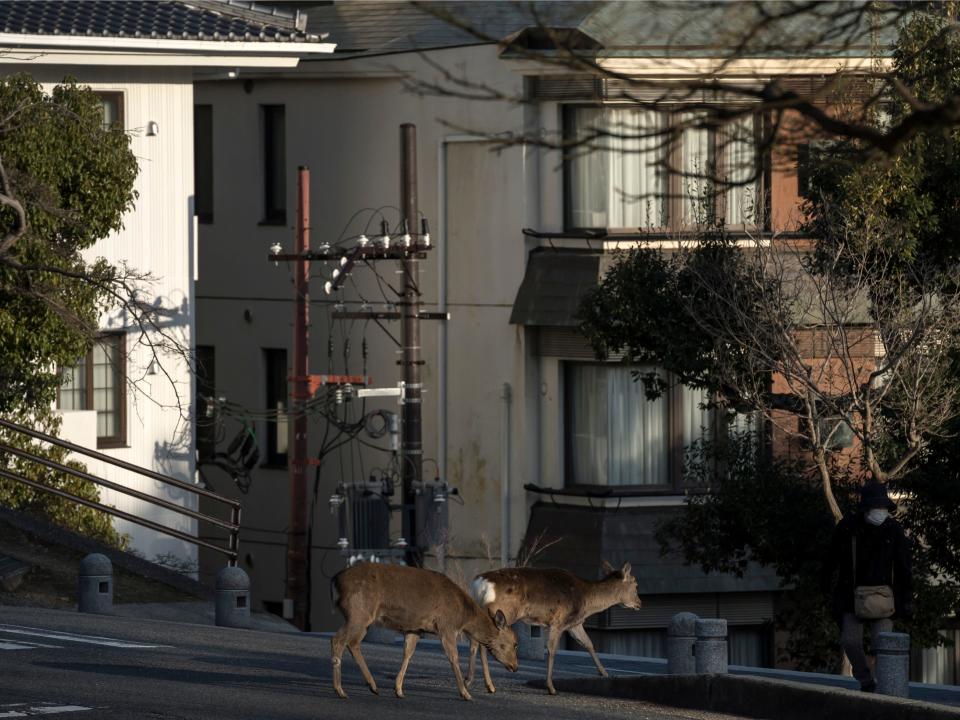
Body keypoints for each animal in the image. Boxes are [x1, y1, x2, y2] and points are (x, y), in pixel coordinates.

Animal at [328, 564, 516, 700]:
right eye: (515, 643)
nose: (515, 666)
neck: (464, 616)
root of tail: (335, 581)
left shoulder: (415, 628)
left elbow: (408, 654)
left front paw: (398, 689)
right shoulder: (447, 626)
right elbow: (453, 658)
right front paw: (465, 693)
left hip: (362, 618)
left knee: (353, 643)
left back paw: (372, 686)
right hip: (358, 612)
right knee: (337, 640)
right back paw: (340, 690)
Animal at [468, 560, 640, 696]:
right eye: (635, 583)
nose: (639, 603)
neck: (586, 602)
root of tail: (478, 585)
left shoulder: (574, 624)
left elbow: (588, 644)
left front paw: (605, 673)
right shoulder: (559, 621)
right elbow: (552, 650)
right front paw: (551, 688)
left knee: (474, 642)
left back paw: (473, 682)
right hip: (504, 613)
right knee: (484, 643)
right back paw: (489, 685)